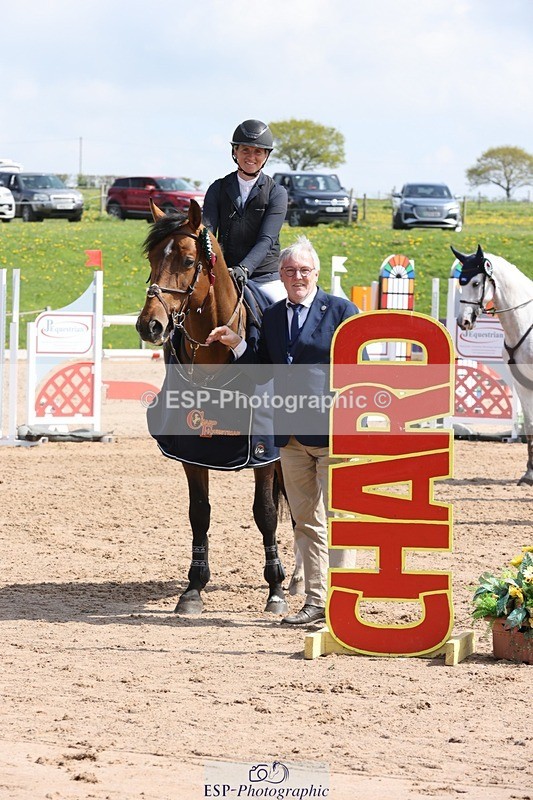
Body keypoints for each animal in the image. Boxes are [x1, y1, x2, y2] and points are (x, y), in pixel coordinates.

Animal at [136, 198, 290, 615]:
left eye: (189, 260)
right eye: (152, 258)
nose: (149, 326)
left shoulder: (264, 452)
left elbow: (265, 513)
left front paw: (276, 589)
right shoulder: (191, 451)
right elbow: (199, 513)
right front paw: (193, 588)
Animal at [454, 244, 533, 486]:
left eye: (475, 283)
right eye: (460, 282)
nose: (463, 321)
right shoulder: (522, 385)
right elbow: (530, 425)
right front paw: (529, 474)